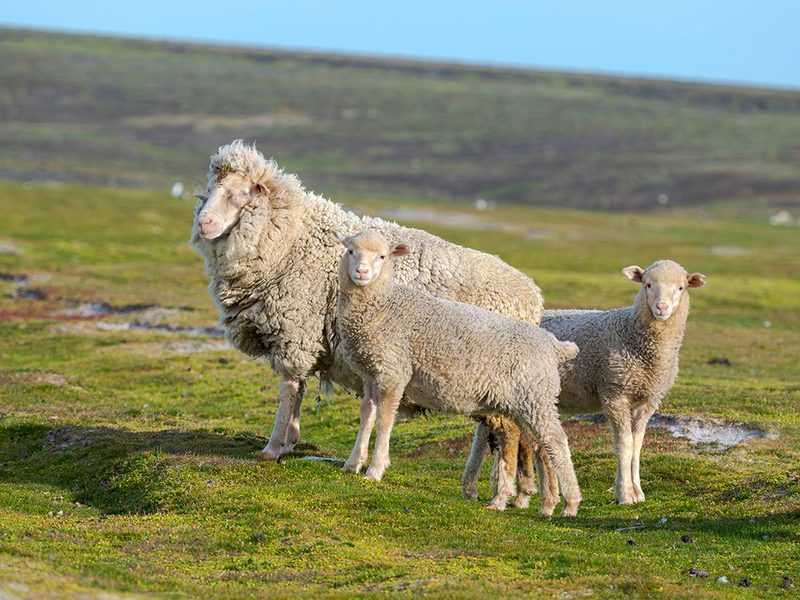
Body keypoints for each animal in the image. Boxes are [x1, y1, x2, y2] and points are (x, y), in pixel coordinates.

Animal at [189, 140, 543, 502]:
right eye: (211, 190)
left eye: (240, 193)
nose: (205, 224)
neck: (291, 237)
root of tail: (533, 297)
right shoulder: (303, 338)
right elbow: (299, 390)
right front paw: (290, 441)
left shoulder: (295, 332)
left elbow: (289, 391)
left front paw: (274, 447)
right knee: (493, 430)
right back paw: (485, 489)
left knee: (506, 431)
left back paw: (504, 493)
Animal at [335, 230, 582, 516]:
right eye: (350, 251)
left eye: (383, 256)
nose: (362, 272)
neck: (384, 306)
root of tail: (552, 344)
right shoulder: (371, 373)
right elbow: (367, 414)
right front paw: (353, 463)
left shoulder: (394, 371)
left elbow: (385, 420)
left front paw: (375, 469)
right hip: (522, 402)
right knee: (538, 444)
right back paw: (545, 503)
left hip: (535, 397)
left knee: (556, 441)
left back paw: (569, 503)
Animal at [463, 260, 706, 506]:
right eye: (647, 284)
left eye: (681, 288)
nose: (662, 308)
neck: (632, 335)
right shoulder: (614, 393)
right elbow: (624, 444)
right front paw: (626, 493)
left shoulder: (647, 401)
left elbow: (637, 445)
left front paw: (637, 491)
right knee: (486, 434)